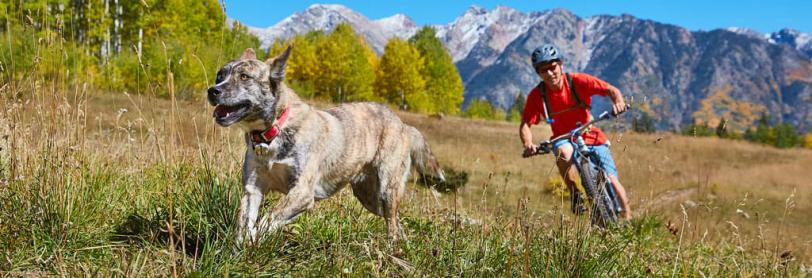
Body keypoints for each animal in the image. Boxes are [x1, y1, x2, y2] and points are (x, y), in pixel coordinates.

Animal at [203, 45, 444, 243]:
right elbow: (244, 224)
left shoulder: (302, 193)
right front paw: (239, 251)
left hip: (387, 188)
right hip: (370, 197)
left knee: (393, 223)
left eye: (244, 77)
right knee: (396, 222)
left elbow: (267, 220)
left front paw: (254, 239)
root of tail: (403, 124)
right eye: (220, 75)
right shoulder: (253, 189)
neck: (272, 131)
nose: (212, 90)